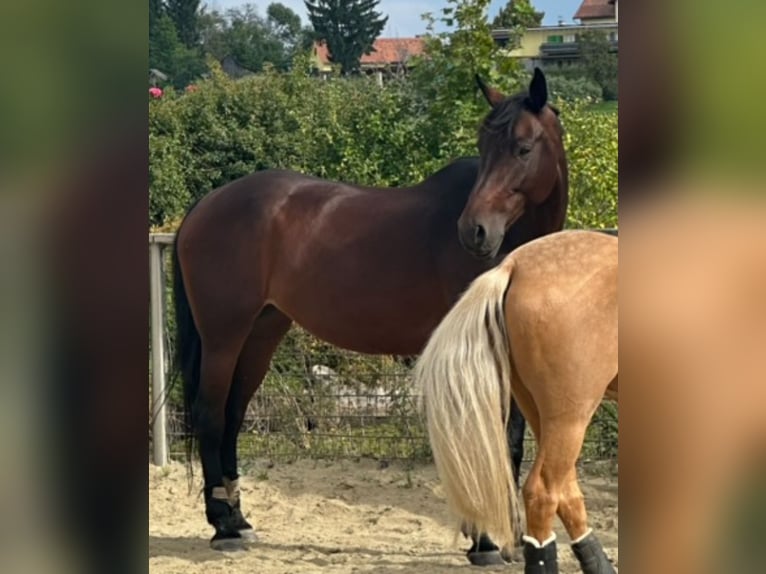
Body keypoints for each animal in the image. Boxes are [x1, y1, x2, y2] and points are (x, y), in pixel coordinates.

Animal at [174, 67, 568, 564]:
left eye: (523, 148)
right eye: (483, 147)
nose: (474, 231)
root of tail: (206, 205)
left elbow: (509, 441)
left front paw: (511, 538)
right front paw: (482, 540)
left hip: (261, 334)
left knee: (232, 416)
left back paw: (239, 519)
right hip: (224, 336)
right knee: (210, 415)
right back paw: (223, 527)